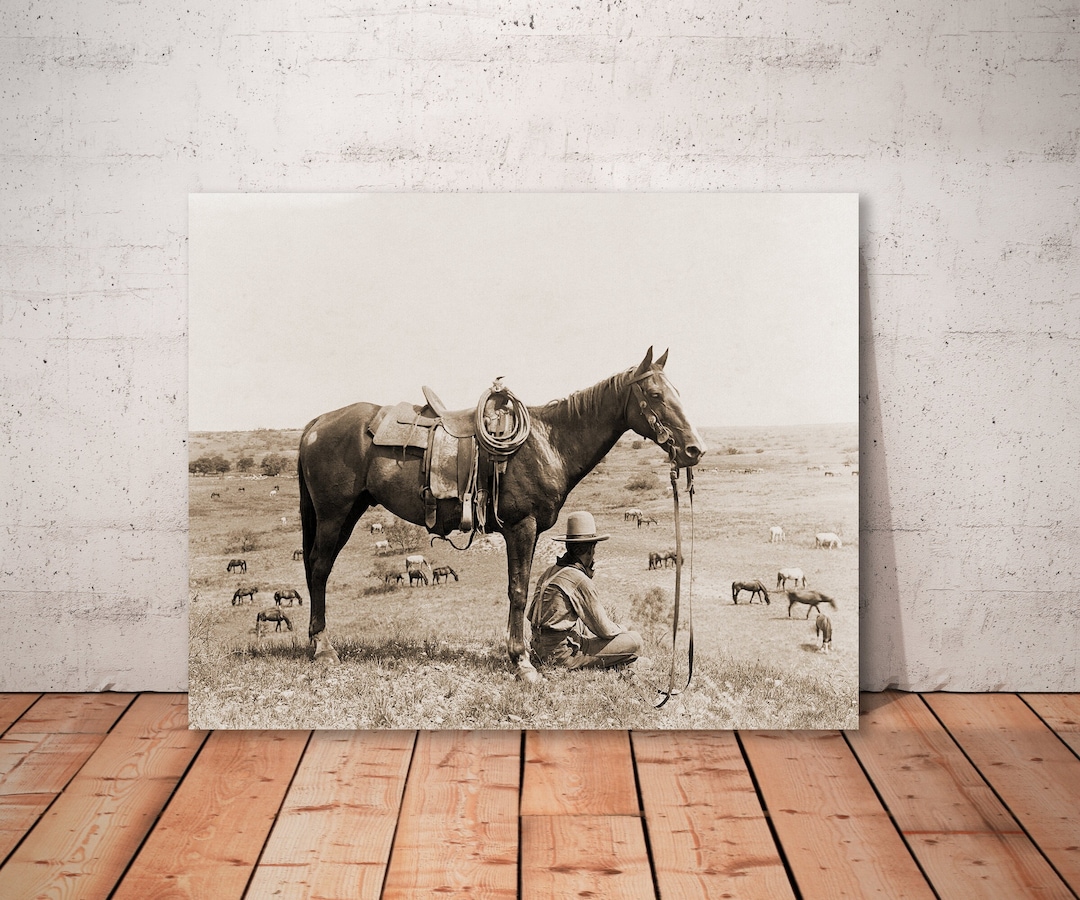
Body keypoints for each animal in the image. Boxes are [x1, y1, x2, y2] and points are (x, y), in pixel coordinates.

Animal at [297, 347, 704, 681]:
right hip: (334, 514)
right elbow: (518, 591)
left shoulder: (531, 530)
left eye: (678, 393)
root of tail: (316, 424)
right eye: (656, 395)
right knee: (318, 568)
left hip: (350, 512)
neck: (549, 442)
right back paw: (324, 649)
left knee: (320, 568)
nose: (694, 449)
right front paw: (521, 662)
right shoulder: (521, 527)